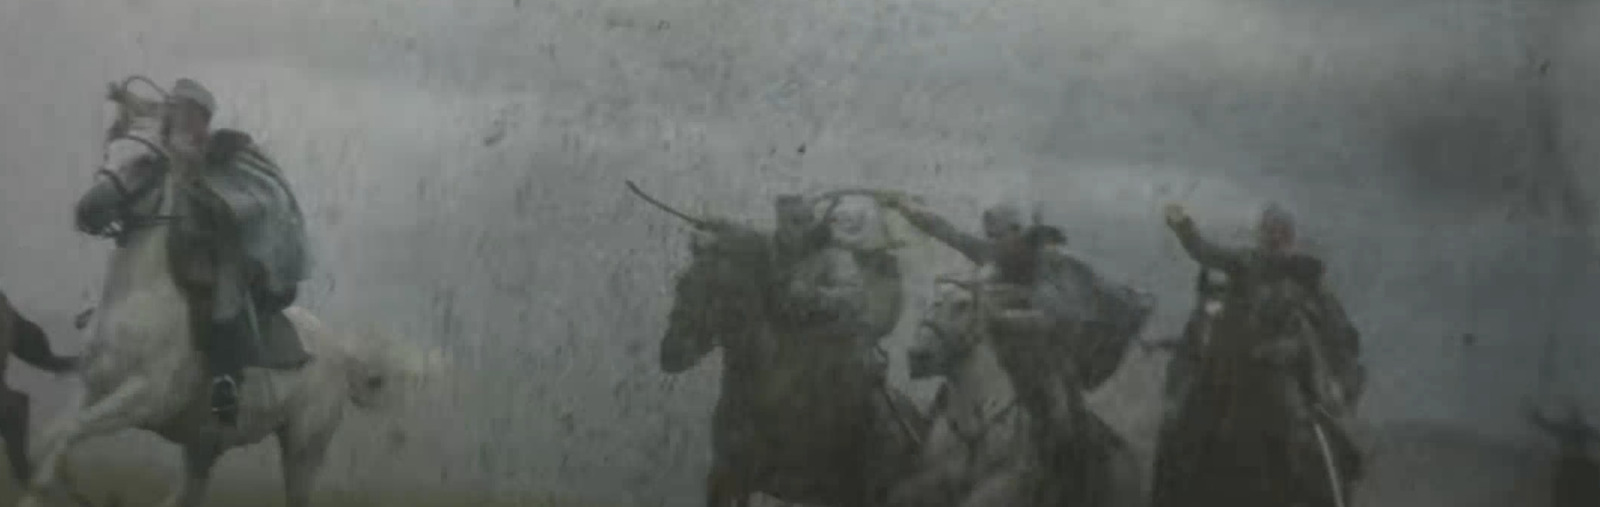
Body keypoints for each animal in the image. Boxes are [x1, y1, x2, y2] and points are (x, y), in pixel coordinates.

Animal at [17, 75, 444, 505]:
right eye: (110, 150)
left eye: (145, 162)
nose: (87, 210)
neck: (137, 303)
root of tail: (342, 352)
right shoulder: (91, 386)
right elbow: (53, 434)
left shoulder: (144, 399)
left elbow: (70, 432)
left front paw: (39, 488)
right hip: (203, 446)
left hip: (303, 451)